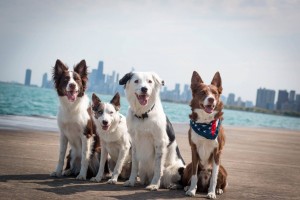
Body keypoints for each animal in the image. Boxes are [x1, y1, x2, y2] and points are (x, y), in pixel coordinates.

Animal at [185, 70, 225, 198]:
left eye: (215, 93)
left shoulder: (217, 152)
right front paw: (191, 190)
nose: (211, 99)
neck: (205, 122)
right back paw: (187, 187)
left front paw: (211, 193)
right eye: (203, 92)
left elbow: (214, 178)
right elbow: (194, 175)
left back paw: (217, 190)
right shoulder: (194, 149)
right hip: (188, 166)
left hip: (222, 169)